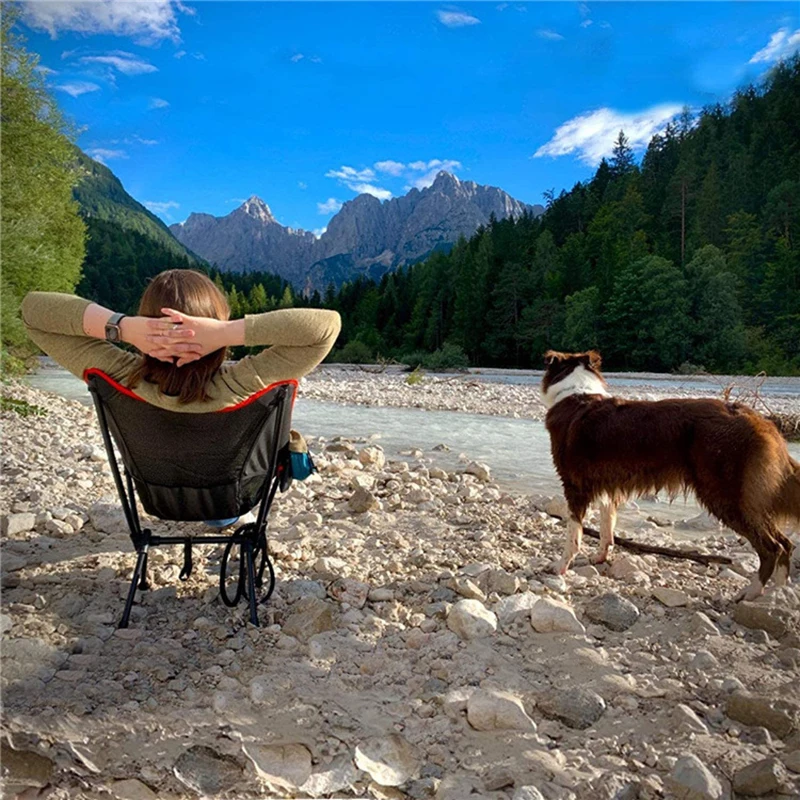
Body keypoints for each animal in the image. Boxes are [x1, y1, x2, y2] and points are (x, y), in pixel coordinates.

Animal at [540, 350, 796, 600]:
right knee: (786, 543)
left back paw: (752, 592)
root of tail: (756, 418)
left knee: (772, 546)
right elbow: (606, 529)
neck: (576, 392)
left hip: (725, 496)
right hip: (745, 499)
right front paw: (600, 557)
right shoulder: (606, 488)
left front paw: (560, 567)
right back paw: (778, 593)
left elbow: (573, 536)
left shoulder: (574, 487)